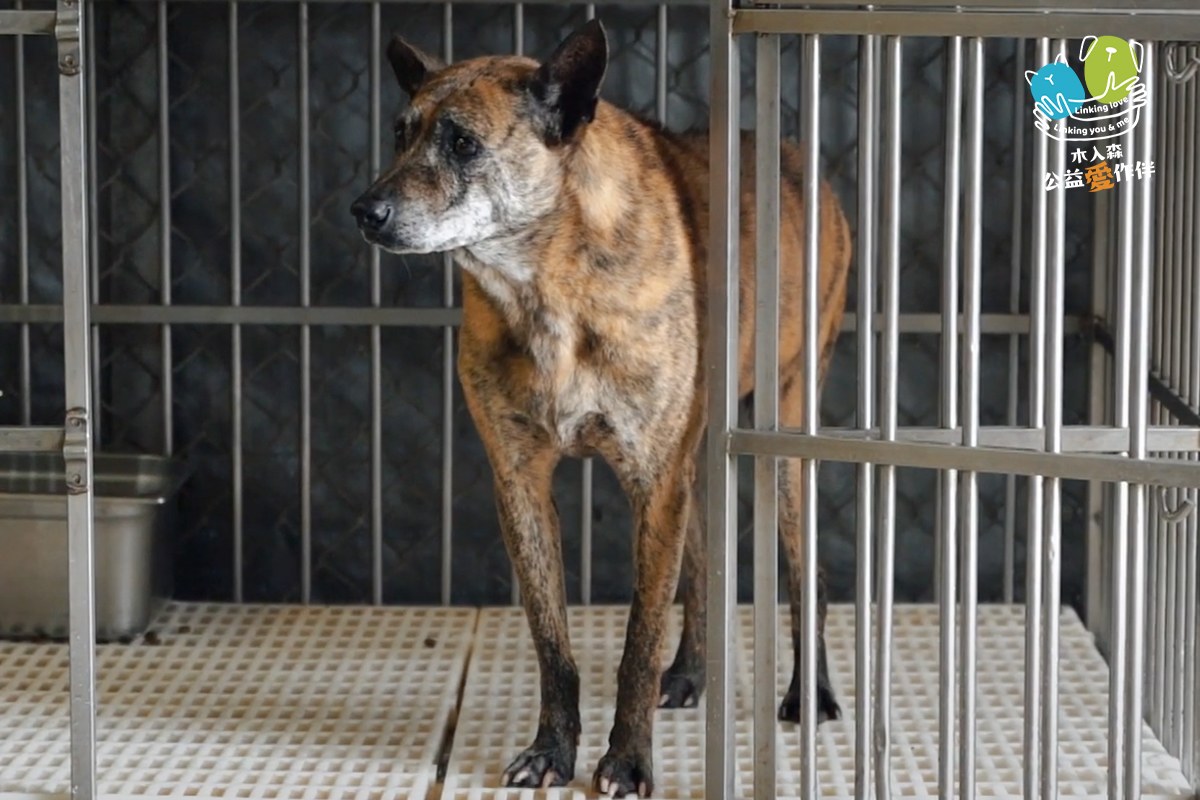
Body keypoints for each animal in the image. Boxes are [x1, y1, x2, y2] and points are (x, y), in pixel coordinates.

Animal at [351, 19, 852, 798]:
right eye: (400, 134)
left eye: (462, 142)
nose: (364, 211)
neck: (546, 284)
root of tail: (797, 159)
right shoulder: (522, 484)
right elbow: (552, 641)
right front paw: (552, 751)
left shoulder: (654, 483)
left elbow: (636, 642)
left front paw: (626, 762)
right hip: (695, 469)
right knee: (701, 572)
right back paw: (691, 674)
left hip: (784, 445)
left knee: (808, 579)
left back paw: (811, 693)